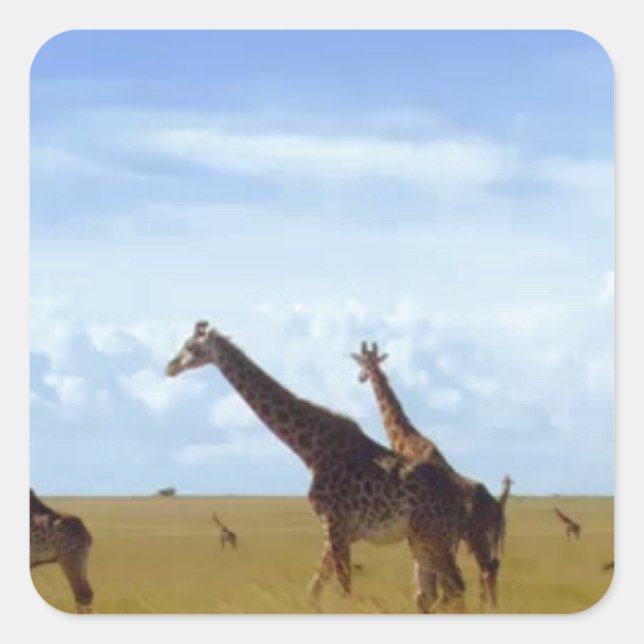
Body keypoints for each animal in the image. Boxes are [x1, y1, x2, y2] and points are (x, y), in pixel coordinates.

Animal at [166, 321, 470, 613]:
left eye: (190, 346)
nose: (170, 366)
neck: (311, 450)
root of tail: (459, 496)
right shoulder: (335, 530)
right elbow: (313, 590)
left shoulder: (334, 522)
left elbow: (344, 590)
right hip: (419, 537)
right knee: (430, 595)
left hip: (435, 535)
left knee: (455, 589)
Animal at [351, 341, 503, 607]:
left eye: (364, 364)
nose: (360, 377)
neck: (409, 441)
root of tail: (496, 507)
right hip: (482, 537)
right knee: (492, 567)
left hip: (477, 535)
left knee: (486, 569)